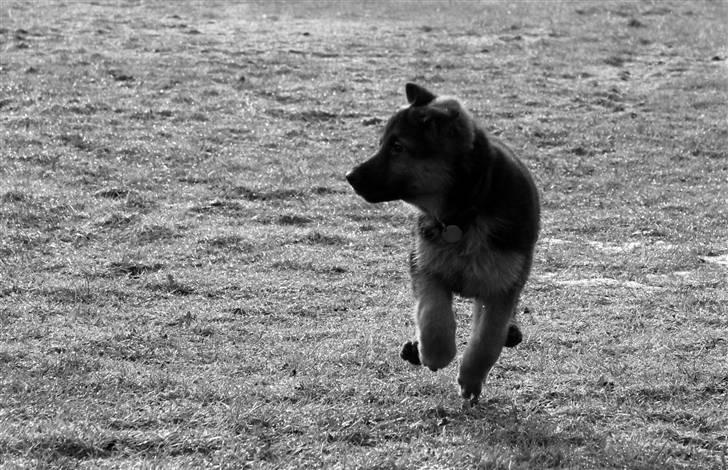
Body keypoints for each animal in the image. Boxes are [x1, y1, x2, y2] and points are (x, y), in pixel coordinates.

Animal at [346, 83, 540, 404]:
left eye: (397, 147)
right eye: (383, 143)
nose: (349, 177)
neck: (462, 215)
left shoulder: (500, 285)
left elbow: (487, 339)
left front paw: (470, 379)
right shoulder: (426, 268)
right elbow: (433, 317)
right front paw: (435, 354)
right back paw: (415, 350)